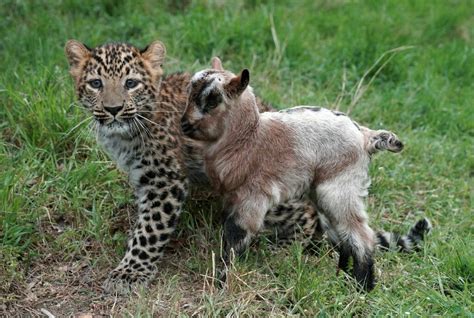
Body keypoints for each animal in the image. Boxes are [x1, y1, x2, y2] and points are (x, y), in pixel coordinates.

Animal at [181, 57, 404, 290]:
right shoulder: (232, 197)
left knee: (361, 233)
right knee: (342, 231)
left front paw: (222, 280)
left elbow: (235, 237)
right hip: (322, 193)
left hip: (340, 187)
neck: (250, 138)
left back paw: (362, 286)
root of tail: (365, 136)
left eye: (212, 101)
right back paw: (342, 275)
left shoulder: (252, 198)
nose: (184, 124)